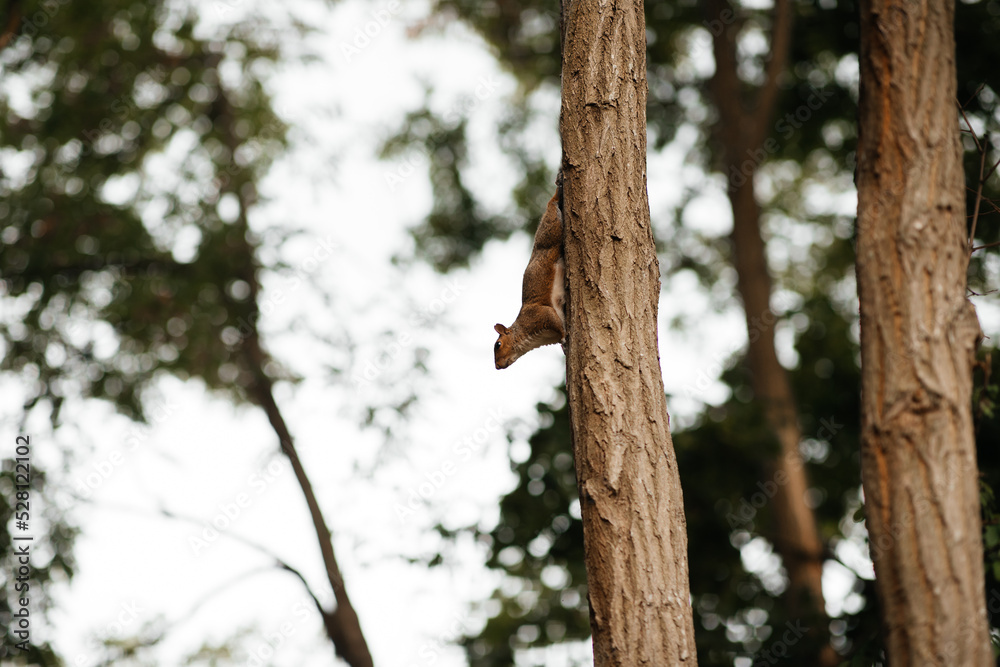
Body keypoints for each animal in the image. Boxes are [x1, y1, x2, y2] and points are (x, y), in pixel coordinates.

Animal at [494, 189, 566, 369]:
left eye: (498, 344)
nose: (497, 366)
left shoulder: (540, 316)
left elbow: (555, 322)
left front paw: (564, 337)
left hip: (551, 232)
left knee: (552, 208)